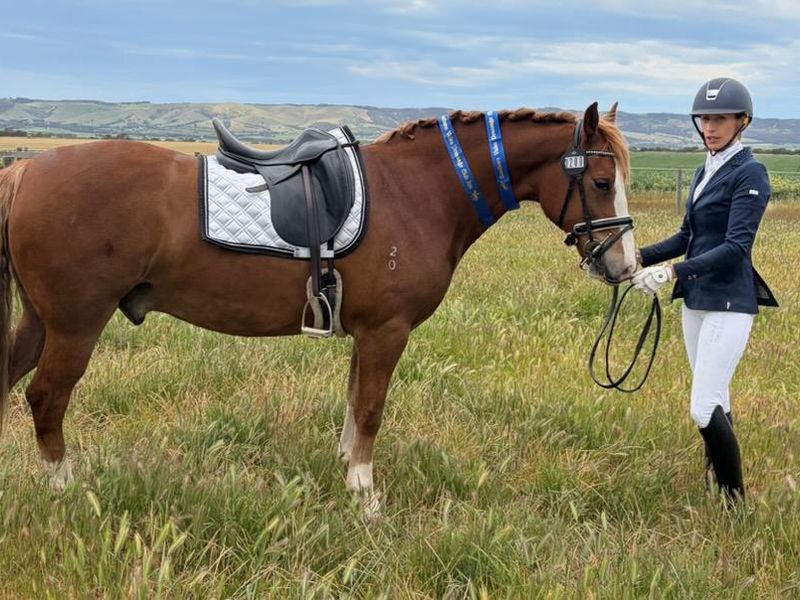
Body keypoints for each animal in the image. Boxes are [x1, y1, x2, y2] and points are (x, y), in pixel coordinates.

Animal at [0, 101, 636, 516]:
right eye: (602, 182)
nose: (624, 265)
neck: (416, 191)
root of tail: (27, 167)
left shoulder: (366, 333)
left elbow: (355, 403)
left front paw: (347, 469)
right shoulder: (387, 331)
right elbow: (372, 409)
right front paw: (365, 495)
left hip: (40, 322)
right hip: (75, 324)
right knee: (46, 398)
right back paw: (65, 490)